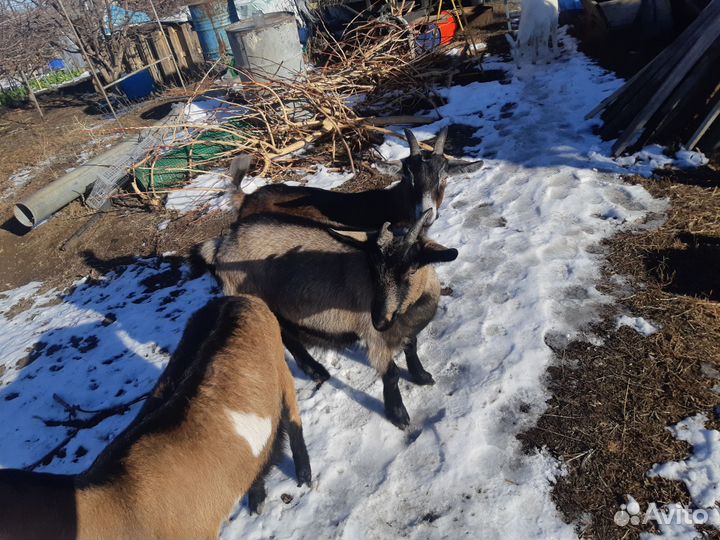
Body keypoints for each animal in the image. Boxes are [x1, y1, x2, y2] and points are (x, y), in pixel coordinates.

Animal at [198, 209, 456, 428]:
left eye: (411, 270)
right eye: (372, 271)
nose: (380, 320)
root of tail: (221, 246)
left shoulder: (403, 327)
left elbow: (412, 347)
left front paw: (422, 377)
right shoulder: (374, 337)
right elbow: (391, 374)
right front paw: (398, 416)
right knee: (287, 336)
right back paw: (317, 371)